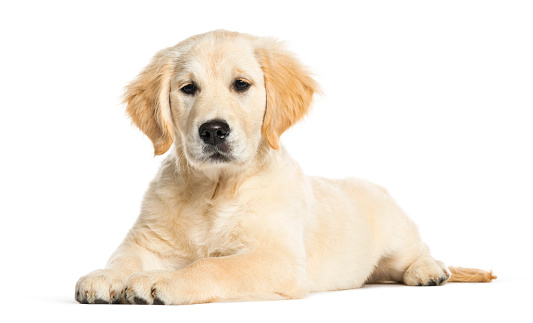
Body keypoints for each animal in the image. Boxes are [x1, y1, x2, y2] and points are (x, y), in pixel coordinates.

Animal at [75, 30, 494, 306]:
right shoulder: (146, 239)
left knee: (418, 251)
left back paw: (430, 270)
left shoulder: (278, 259)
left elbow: (213, 266)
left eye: (241, 84)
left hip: (398, 232)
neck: (213, 190)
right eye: (188, 88)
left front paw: (161, 280)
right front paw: (103, 277)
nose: (213, 130)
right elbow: (124, 258)